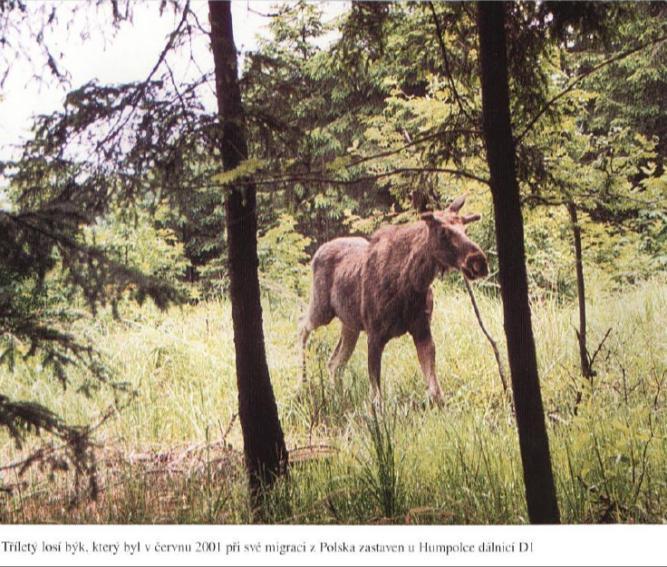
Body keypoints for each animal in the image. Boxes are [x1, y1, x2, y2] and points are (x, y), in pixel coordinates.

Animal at [300, 197, 488, 406]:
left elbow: (435, 391)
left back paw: (336, 396)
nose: (478, 262)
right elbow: (376, 396)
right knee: (302, 328)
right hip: (321, 309)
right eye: (443, 232)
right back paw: (303, 382)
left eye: (466, 229)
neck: (413, 282)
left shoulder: (422, 330)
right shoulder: (375, 334)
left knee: (334, 363)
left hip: (350, 325)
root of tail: (317, 253)